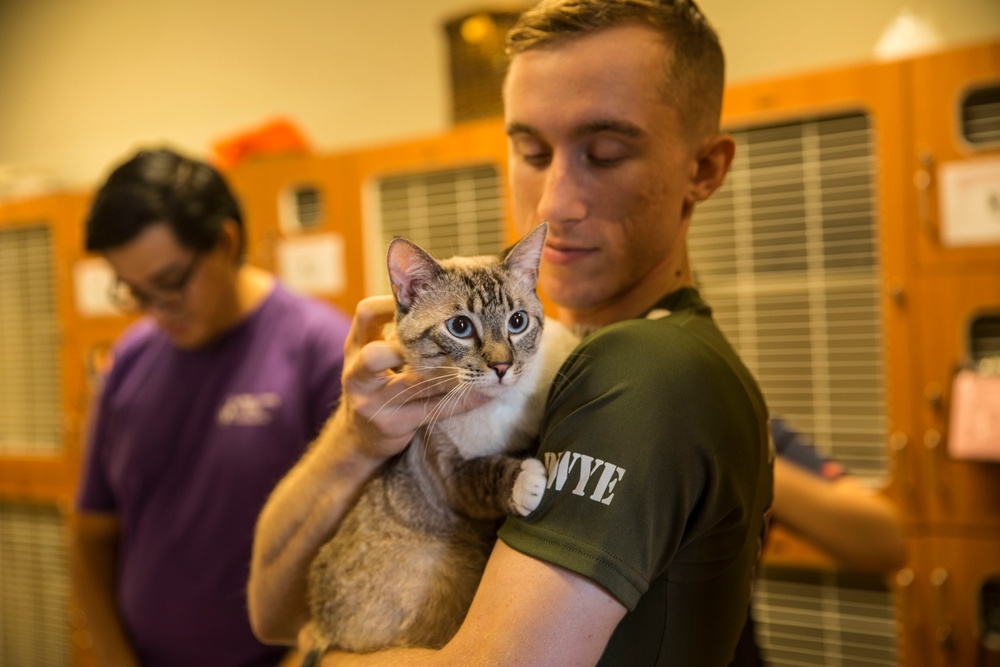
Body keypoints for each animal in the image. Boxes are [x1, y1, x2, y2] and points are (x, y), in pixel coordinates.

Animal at [308, 223, 584, 652]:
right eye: (460, 327)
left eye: (518, 321)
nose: (502, 366)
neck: (499, 407)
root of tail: (321, 627)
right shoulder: (449, 474)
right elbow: (488, 471)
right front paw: (526, 481)